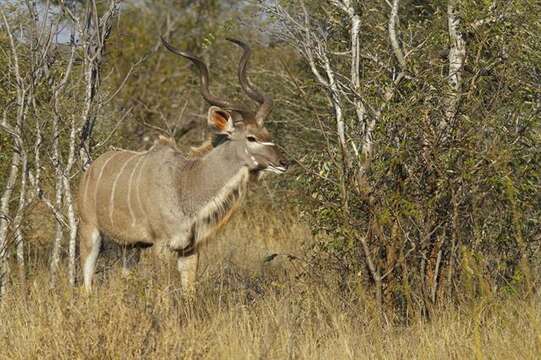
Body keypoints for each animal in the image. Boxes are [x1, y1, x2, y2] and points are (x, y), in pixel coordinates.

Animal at [77, 38, 286, 292]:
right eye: (251, 138)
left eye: (267, 133)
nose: (284, 162)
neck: (185, 182)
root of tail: (91, 169)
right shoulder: (160, 245)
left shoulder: (189, 249)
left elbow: (189, 291)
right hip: (89, 231)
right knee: (87, 281)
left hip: (131, 247)